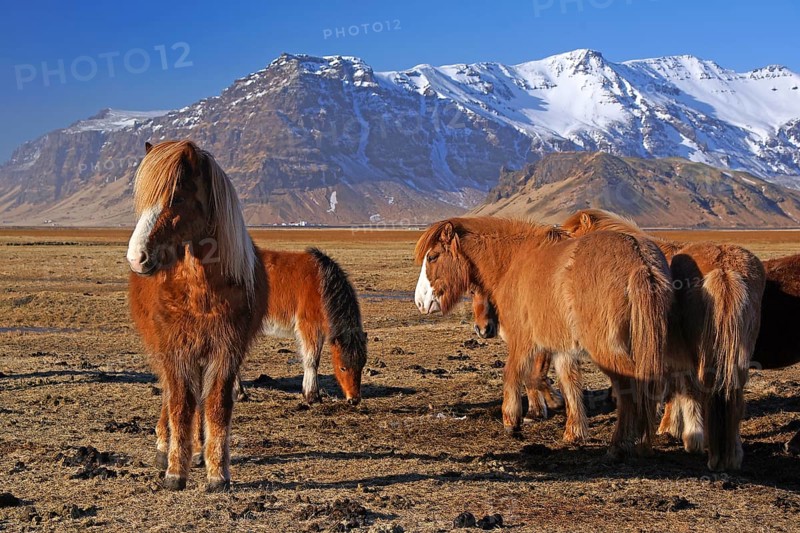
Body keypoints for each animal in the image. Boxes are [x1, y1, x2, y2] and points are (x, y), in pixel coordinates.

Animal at [127, 140, 268, 491]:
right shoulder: (176, 351)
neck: (201, 291)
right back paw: (164, 448)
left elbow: (216, 405)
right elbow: (180, 404)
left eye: (176, 198)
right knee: (169, 394)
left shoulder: (226, 351)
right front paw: (175, 472)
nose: (136, 258)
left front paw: (218, 473)